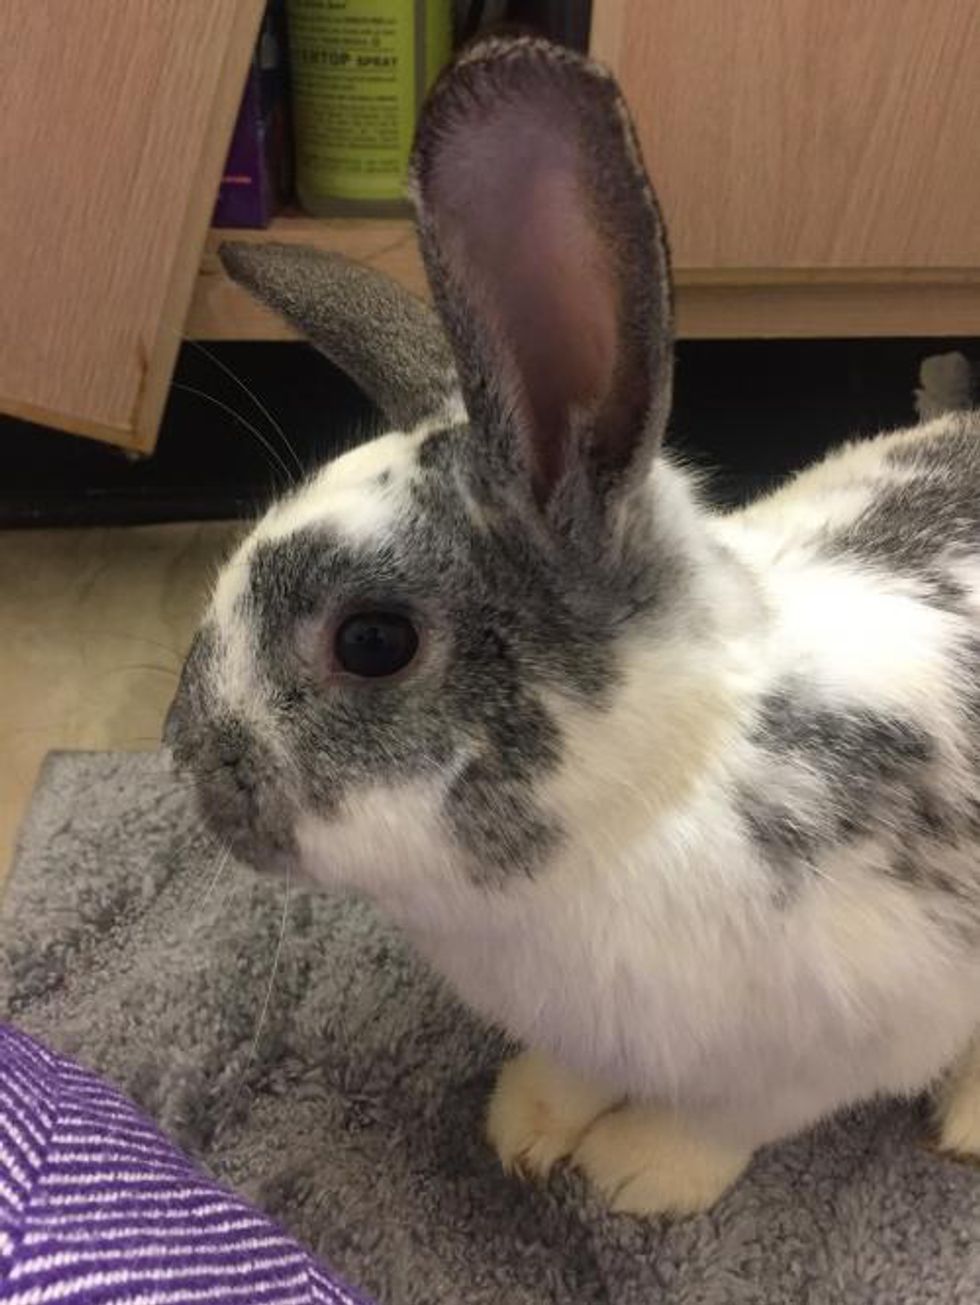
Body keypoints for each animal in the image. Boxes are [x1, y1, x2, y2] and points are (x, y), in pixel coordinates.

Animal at [166, 35, 980, 1217]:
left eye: (372, 641)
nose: (188, 758)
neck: (650, 802)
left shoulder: (844, 1042)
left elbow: (724, 1123)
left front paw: (633, 1175)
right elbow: (570, 1073)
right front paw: (529, 1127)